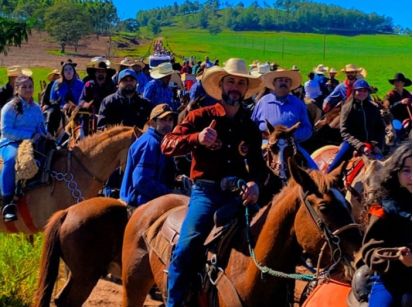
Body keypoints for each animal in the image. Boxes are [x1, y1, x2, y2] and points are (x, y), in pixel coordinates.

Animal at [120, 161, 358, 307]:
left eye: (348, 204)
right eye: (324, 207)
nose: (358, 258)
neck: (251, 270)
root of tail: (147, 207)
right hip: (133, 284)